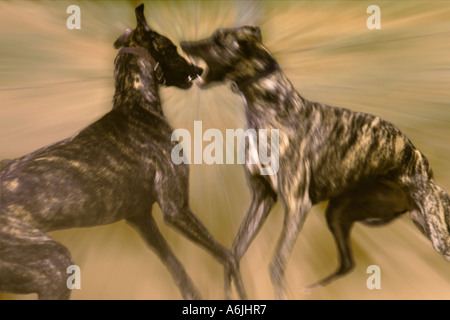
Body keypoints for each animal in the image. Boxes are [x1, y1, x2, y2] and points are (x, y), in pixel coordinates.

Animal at [0, 4, 246, 300]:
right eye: (171, 48)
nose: (197, 68)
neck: (135, 103)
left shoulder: (141, 219)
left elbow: (179, 272)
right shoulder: (176, 210)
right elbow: (227, 255)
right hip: (53, 265)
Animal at [180, 26, 450, 298]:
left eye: (218, 40)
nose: (183, 43)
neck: (273, 108)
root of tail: (425, 167)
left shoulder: (297, 205)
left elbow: (276, 263)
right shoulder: (262, 198)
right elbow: (233, 255)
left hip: (437, 235)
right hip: (339, 214)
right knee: (347, 262)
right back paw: (311, 288)